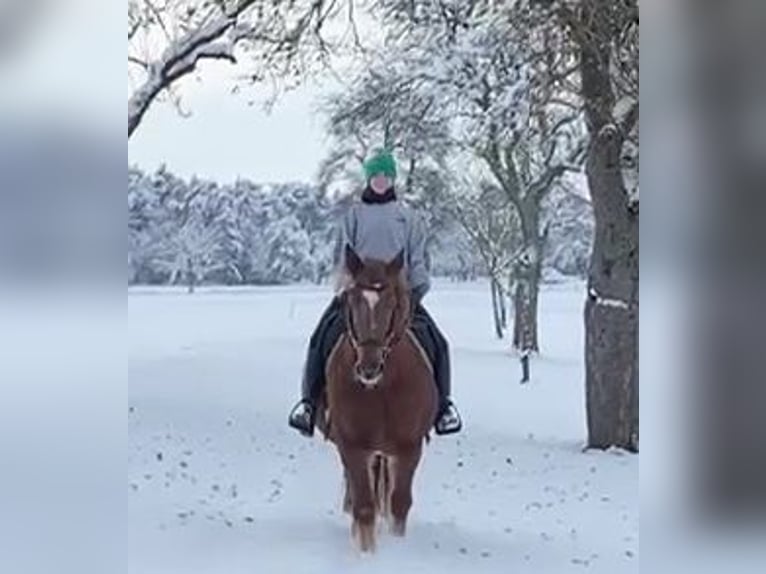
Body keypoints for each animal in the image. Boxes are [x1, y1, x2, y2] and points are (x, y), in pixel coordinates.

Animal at [316, 245, 438, 556]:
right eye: (352, 300)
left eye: (392, 304)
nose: (369, 368)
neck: (382, 389)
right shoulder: (353, 446)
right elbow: (364, 507)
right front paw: (367, 554)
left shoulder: (408, 449)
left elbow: (399, 505)